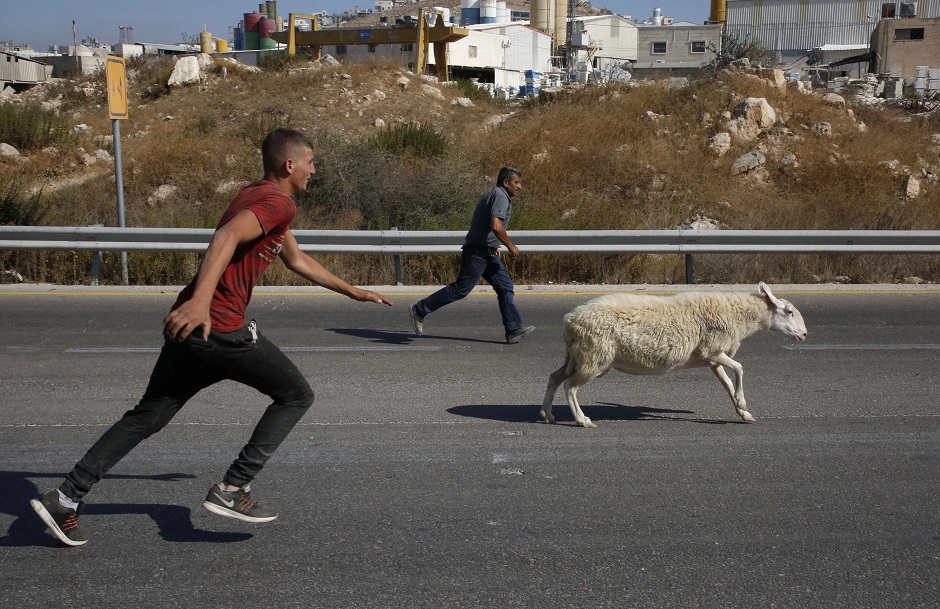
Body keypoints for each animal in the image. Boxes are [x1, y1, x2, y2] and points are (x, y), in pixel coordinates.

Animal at [544, 282, 808, 428]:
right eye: (789, 311)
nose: (805, 334)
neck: (739, 316)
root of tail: (569, 321)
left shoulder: (712, 358)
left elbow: (728, 383)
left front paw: (743, 412)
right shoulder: (711, 349)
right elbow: (740, 368)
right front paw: (742, 404)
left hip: (577, 356)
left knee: (555, 378)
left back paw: (548, 415)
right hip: (594, 357)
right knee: (570, 386)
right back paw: (582, 420)